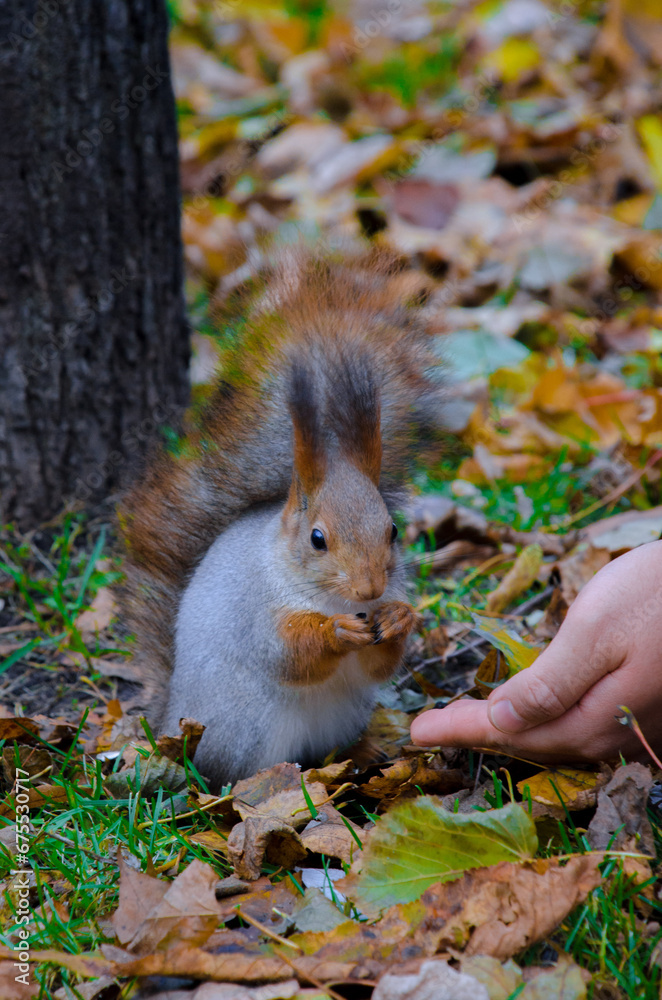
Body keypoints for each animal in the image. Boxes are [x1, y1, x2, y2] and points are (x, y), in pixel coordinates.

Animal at [119, 246, 444, 788]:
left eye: (394, 530)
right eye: (317, 539)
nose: (371, 591)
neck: (332, 598)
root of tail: (171, 724)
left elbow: (380, 666)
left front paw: (399, 618)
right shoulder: (259, 612)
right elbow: (291, 654)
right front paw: (337, 633)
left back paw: (363, 751)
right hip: (249, 728)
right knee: (240, 772)